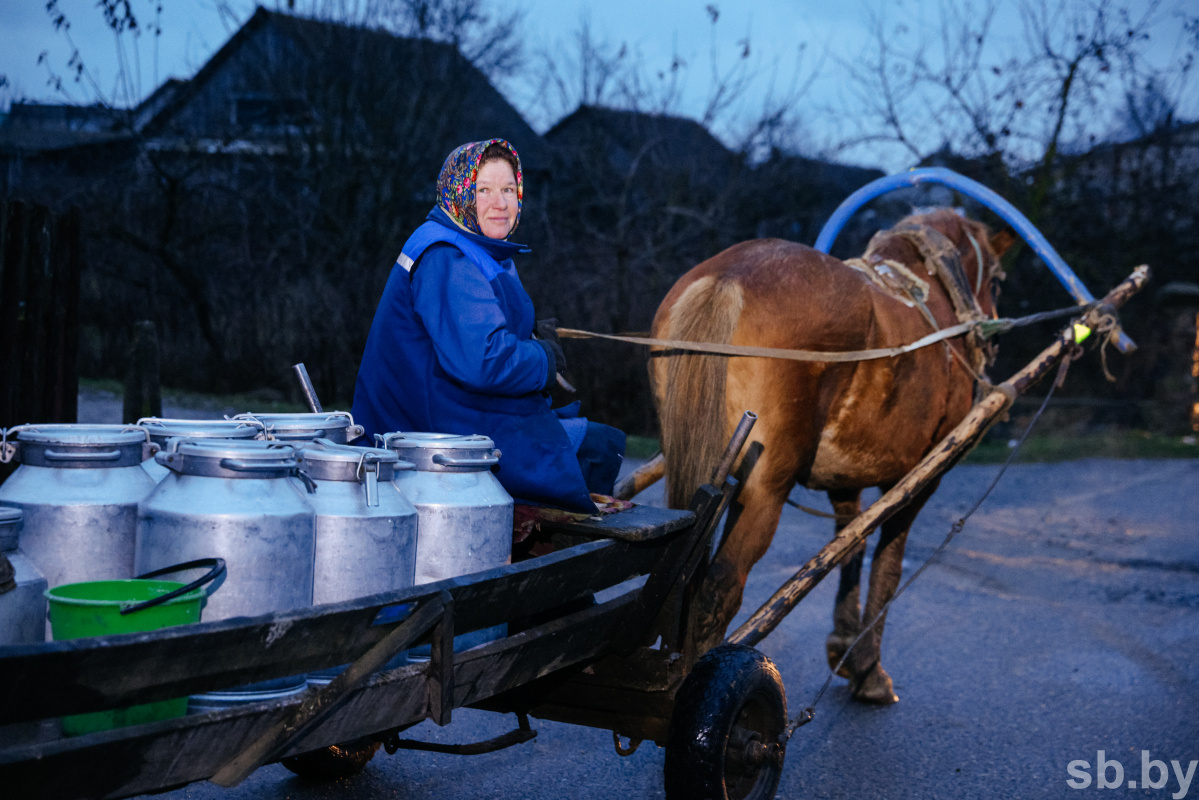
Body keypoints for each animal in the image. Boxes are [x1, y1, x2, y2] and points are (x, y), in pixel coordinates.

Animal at [652, 209, 1007, 705]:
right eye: (996, 279)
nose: (990, 337)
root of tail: (728, 277)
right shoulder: (920, 476)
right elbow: (888, 563)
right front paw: (869, 670)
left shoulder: (846, 479)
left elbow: (849, 544)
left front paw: (844, 644)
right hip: (764, 489)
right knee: (716, 590)